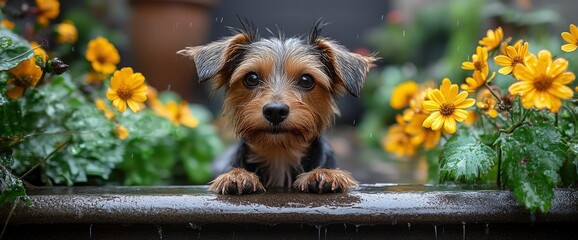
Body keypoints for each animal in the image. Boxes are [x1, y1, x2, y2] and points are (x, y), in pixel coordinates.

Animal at [178, 19, 376, 195]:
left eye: (306, 80)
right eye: (251, 78)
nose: (275, 111)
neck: (279, 153)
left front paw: (325, 175)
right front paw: (238, 176)